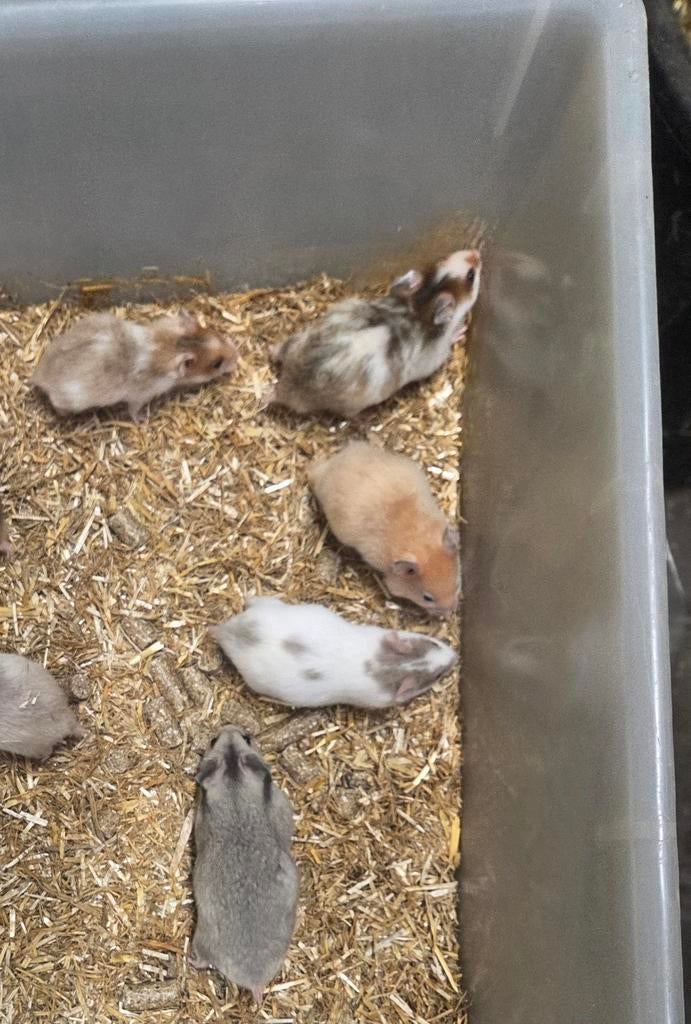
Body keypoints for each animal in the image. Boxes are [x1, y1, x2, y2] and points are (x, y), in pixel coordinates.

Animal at [32, 310, 238, 420]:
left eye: (217, 333)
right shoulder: (139, 397)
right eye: (217, 364)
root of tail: (38, 376)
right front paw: (142, 419)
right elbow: (133, 411)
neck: (172, 345)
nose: (237, 357)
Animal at [210, 596, 458, 709]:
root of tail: (226, 630)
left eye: (435, 644)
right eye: (437, 675)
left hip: (270, 607)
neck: (386, 666)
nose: (456, 655)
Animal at [268, 249, 481, 417]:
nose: (477, 253)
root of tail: (285, 388)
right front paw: (460, 330)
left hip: (298, 339)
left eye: (443, 257)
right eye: (471, 276)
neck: (422, 301)